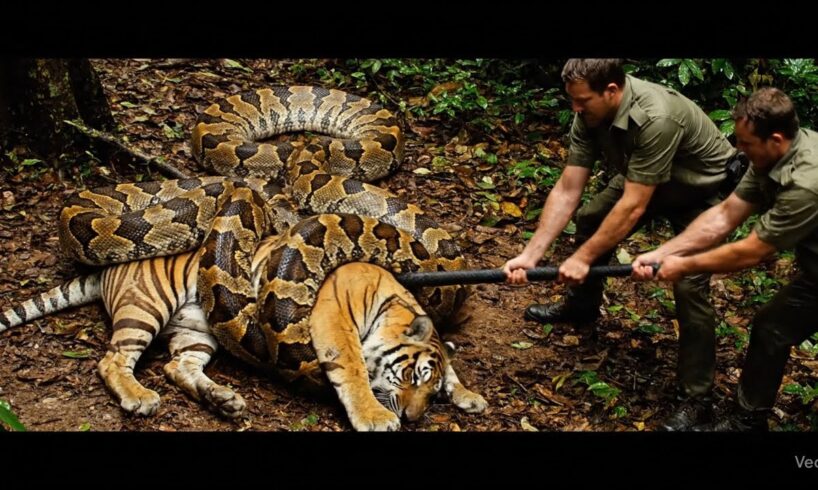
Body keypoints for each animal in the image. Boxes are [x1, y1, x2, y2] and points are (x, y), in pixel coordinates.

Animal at [0, 248, 487, 431]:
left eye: (430, 391)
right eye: (411, 376)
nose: (414, 418)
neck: (395, 301)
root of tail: (107, 266)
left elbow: (451, 363)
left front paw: (468, 394)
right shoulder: (333, 320)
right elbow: (352, 369)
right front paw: (374, 416)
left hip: (197, 333)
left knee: (177, 366)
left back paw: (224, 401)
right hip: (145, 307)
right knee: (112, 360)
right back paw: (140, 397)